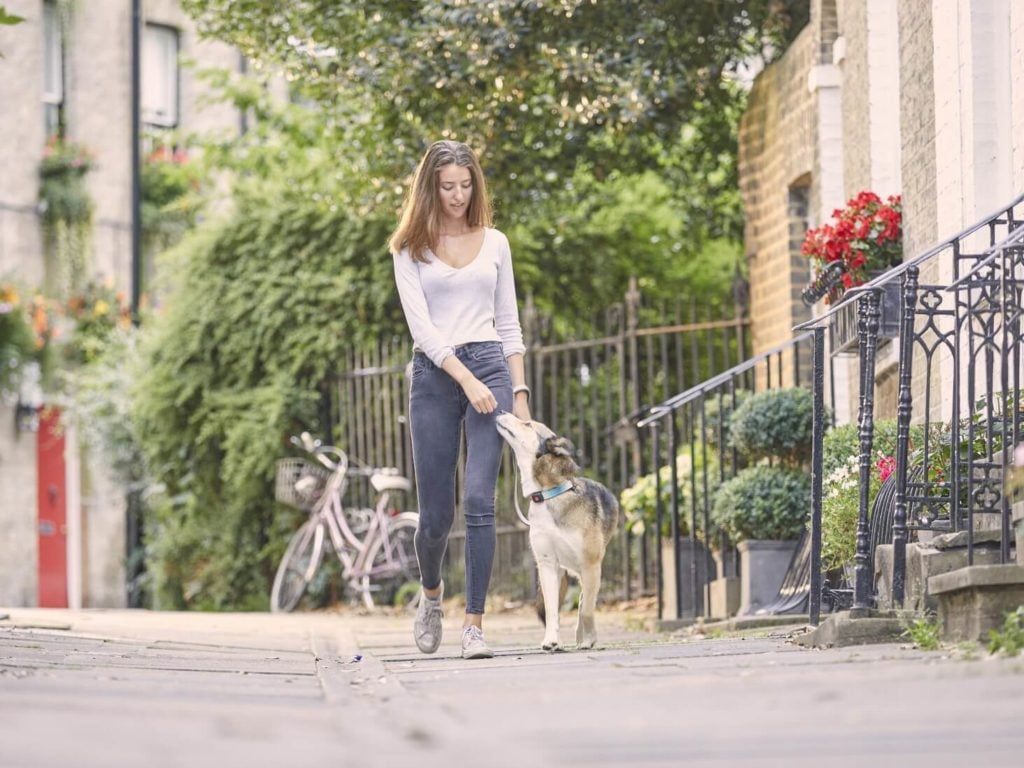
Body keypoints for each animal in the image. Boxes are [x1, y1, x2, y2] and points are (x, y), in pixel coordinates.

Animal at [493, 415, 614, 651]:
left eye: (527, 423)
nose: (501, 411)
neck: (548, 494)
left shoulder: (591, 565)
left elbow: (587, 610)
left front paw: (590, 639)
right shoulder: (547, 563)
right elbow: (551, 610)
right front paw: (551, 640)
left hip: (588, 571)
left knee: (585, 603)